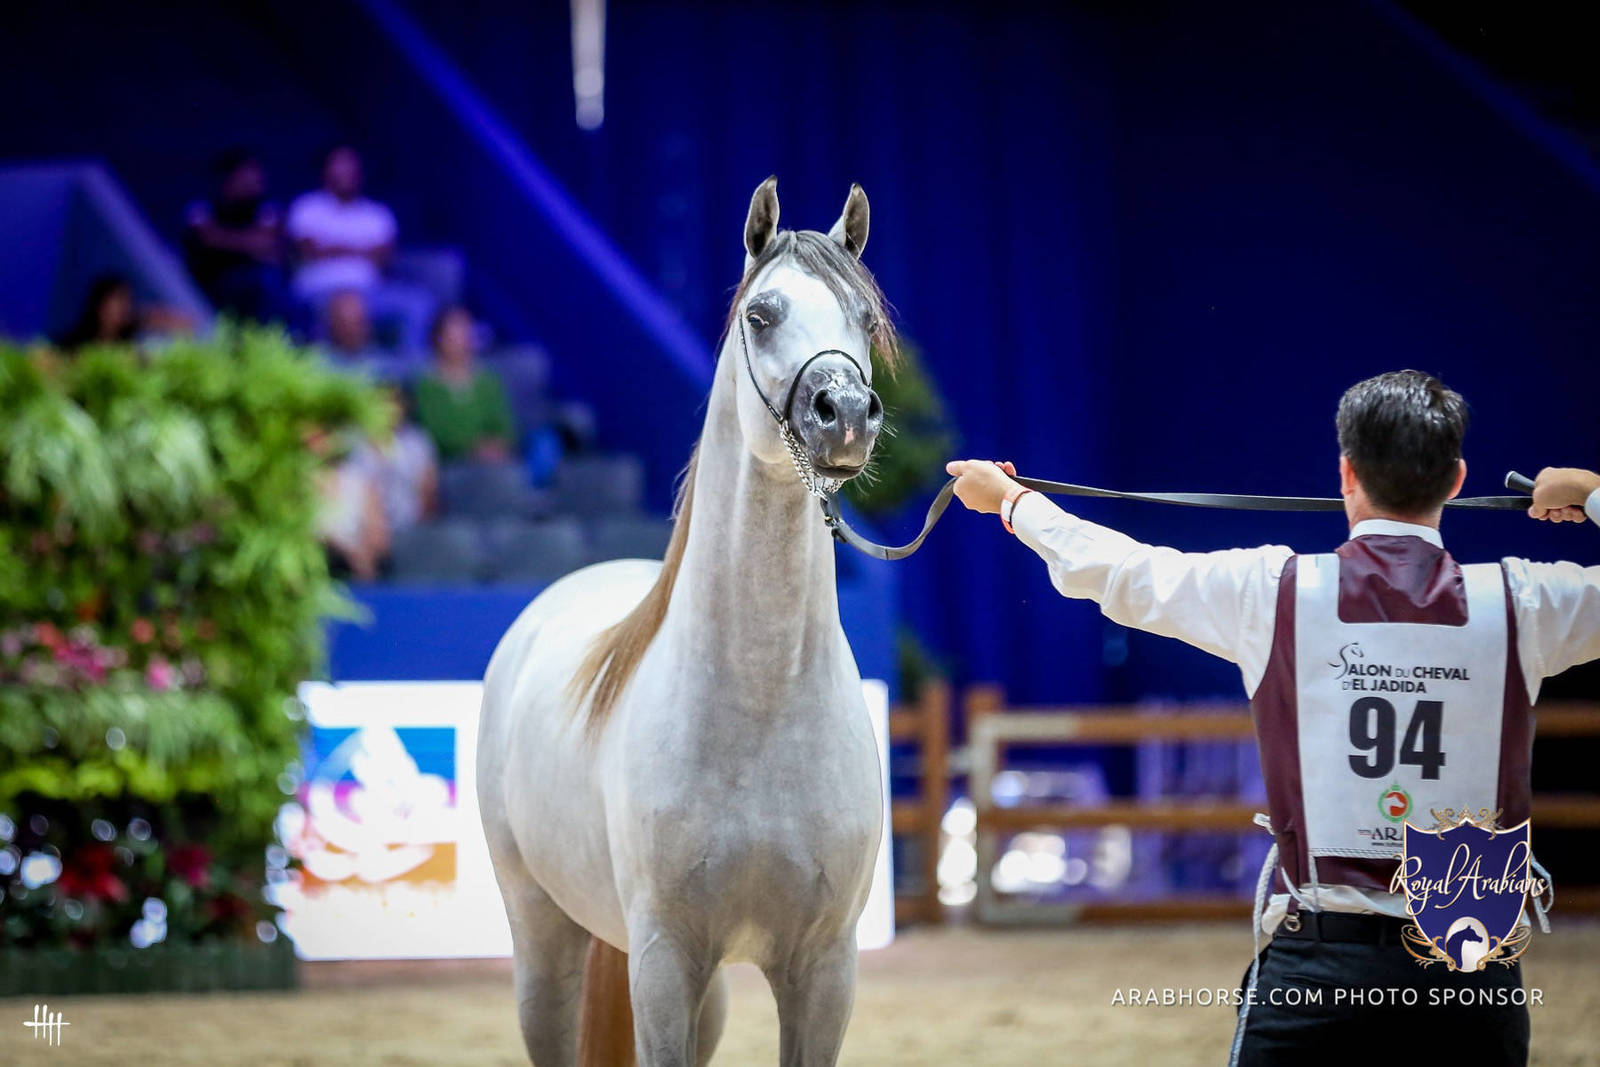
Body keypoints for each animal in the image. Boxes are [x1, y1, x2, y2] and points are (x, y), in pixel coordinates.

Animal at [478, 176, 895, 1067]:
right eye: (761, 314)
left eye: (863, 316)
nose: (844, 412)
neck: (763, 704)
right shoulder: (666, 957)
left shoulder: (825, 966)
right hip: (544, 937)